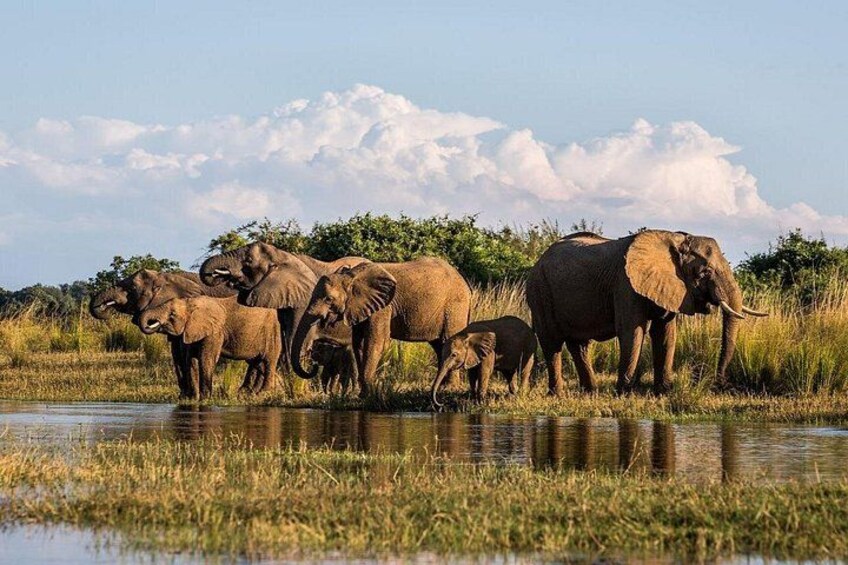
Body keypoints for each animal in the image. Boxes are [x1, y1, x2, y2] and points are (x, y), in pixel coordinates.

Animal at [89, 269, 238, 397]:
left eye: (132, 289)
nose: (105, 307)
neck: (164, 277)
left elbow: (185, 354)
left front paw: (191, 396)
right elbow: (177, 355)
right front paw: (183, 397)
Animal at [138, 295, 282, 399]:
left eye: (172, 314)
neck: (191, 303)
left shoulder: (214, 332)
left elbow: (205, 359)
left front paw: (205, 398)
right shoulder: (192, 330)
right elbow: (190, 360)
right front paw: (193, 399)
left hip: (272, 331)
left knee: (269, 361)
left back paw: (264, 393)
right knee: (257, 363)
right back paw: (250, 393)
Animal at [198, 242, 365, 389]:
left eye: (248, 261)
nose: (220, 274)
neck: (283, 255)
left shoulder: (304, 303)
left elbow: (294, 343)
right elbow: (284, 344)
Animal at [290, 258, 472, 398]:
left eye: (328, 299)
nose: (313, 364)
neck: (351, 277)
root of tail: (465, 284)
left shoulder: (383, 307)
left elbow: (376, 342)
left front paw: (367, 395)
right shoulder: (360, 307)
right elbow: (359, 344)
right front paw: (363, 393)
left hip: (455, 306)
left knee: (448, 340)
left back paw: (449, 389)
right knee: (439, 345)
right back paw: (442, 387)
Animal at [526, 230, 767, 396]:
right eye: (704, 272)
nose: (720, 384)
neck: (674, 239)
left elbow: (665, 334)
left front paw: (664, 392)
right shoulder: (625, 285)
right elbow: (633, 332)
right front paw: (624, 393)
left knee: (579, 345)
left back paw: (590, 392)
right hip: (540, 291)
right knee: (552, 343)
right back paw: (558, 394)